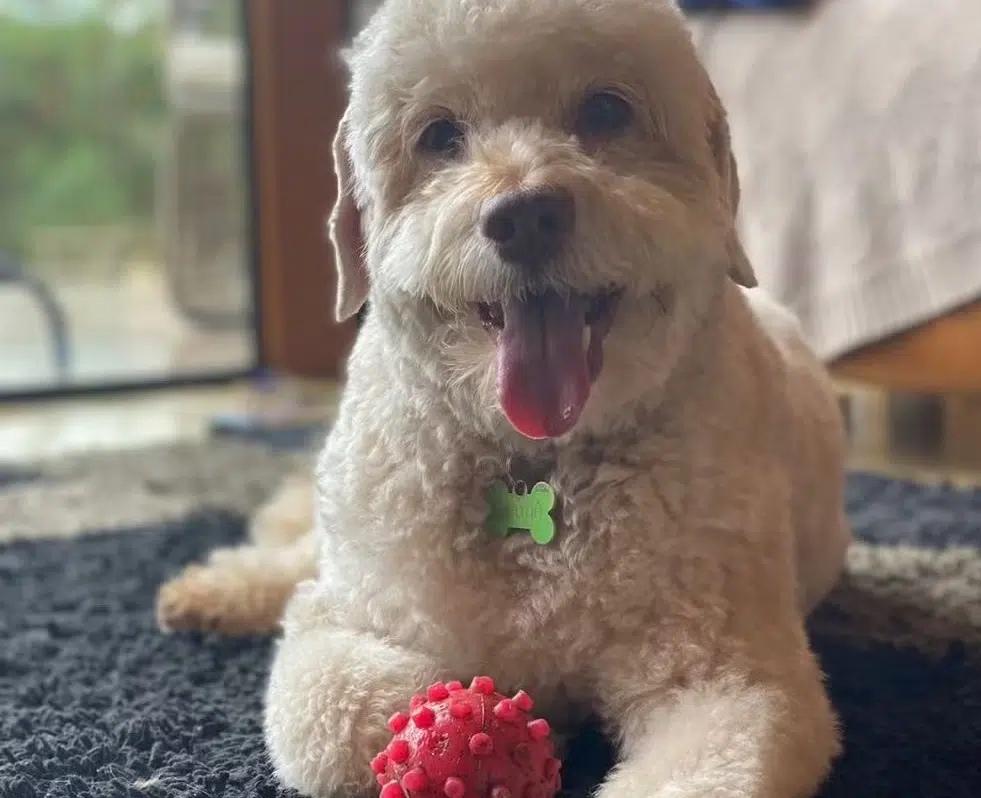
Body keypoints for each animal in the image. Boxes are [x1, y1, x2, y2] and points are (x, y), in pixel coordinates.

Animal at [157, 1, 848, 798]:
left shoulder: (726, 679)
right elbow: (342, 706)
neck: (535, 462)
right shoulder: (353, 618)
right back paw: (217, 589)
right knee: (298, 561)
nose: (524, 216)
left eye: (606, 110)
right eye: (438, 135)